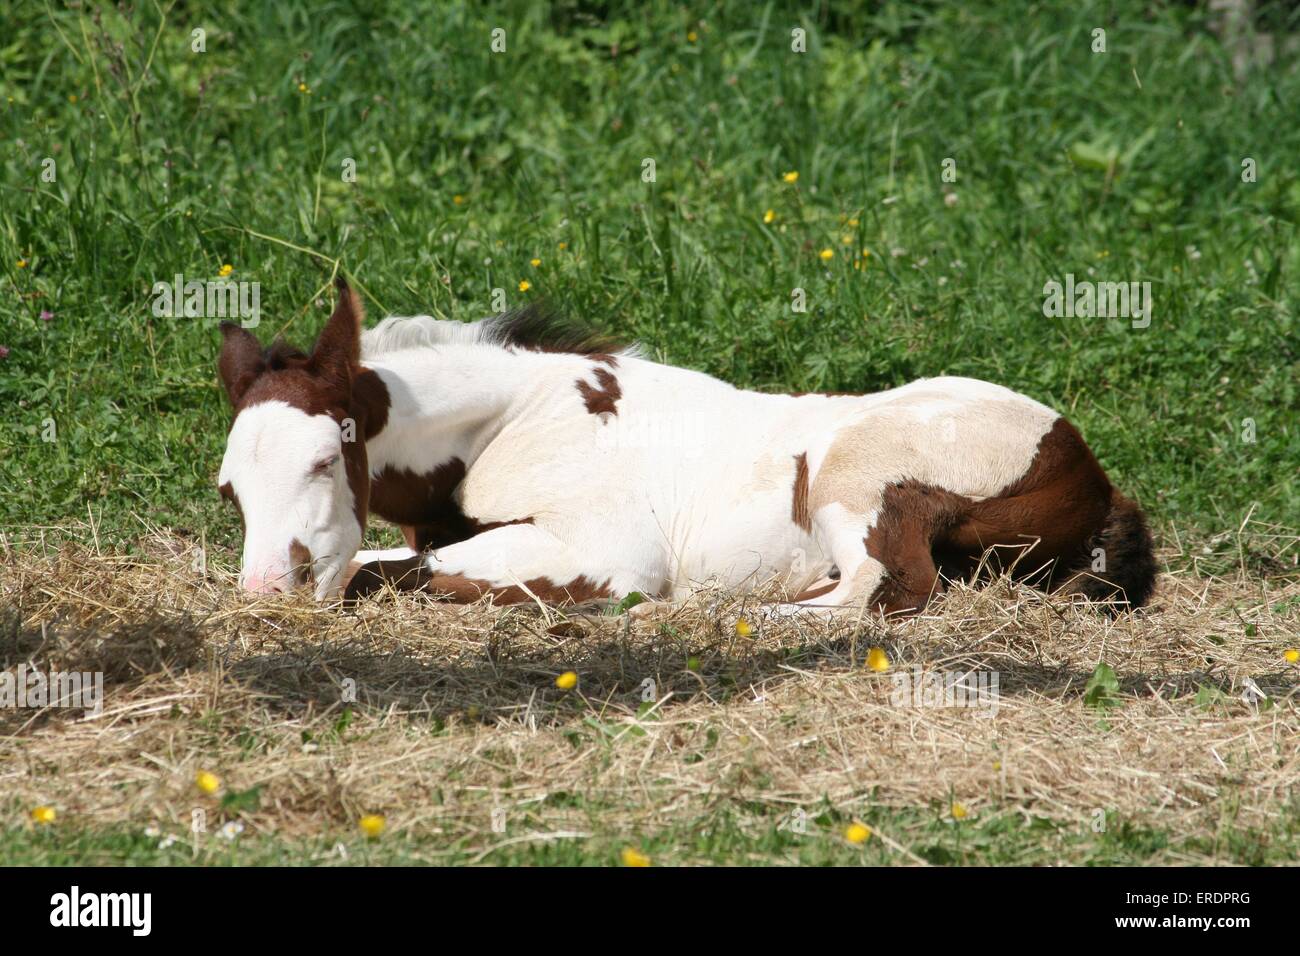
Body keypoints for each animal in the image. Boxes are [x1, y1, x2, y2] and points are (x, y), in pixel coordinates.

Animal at [216, 277, 1156, 616]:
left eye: (323, 461)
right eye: (230, 489)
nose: (264, 590)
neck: (514, 419)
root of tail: (1093, 473)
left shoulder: (607, 552)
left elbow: (400, 573)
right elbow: (381, 561)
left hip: (855, 473)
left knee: (882, 588)